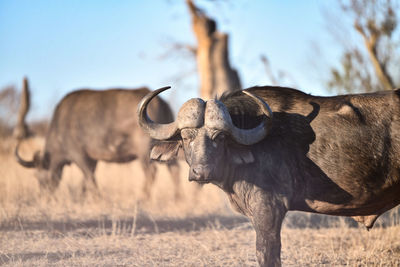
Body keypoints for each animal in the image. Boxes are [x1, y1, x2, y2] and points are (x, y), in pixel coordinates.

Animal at [15, 87, 181, 200]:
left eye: (38, 176)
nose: (43, 195)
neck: (60, 126)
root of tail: (161, 102)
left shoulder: (79, 155)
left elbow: (90, 178)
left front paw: (97, 198)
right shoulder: (92, 160)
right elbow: (86, 180)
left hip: (144, 151)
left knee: (151, 173)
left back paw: (143, 198)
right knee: (174, 169)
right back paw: (178, 198)